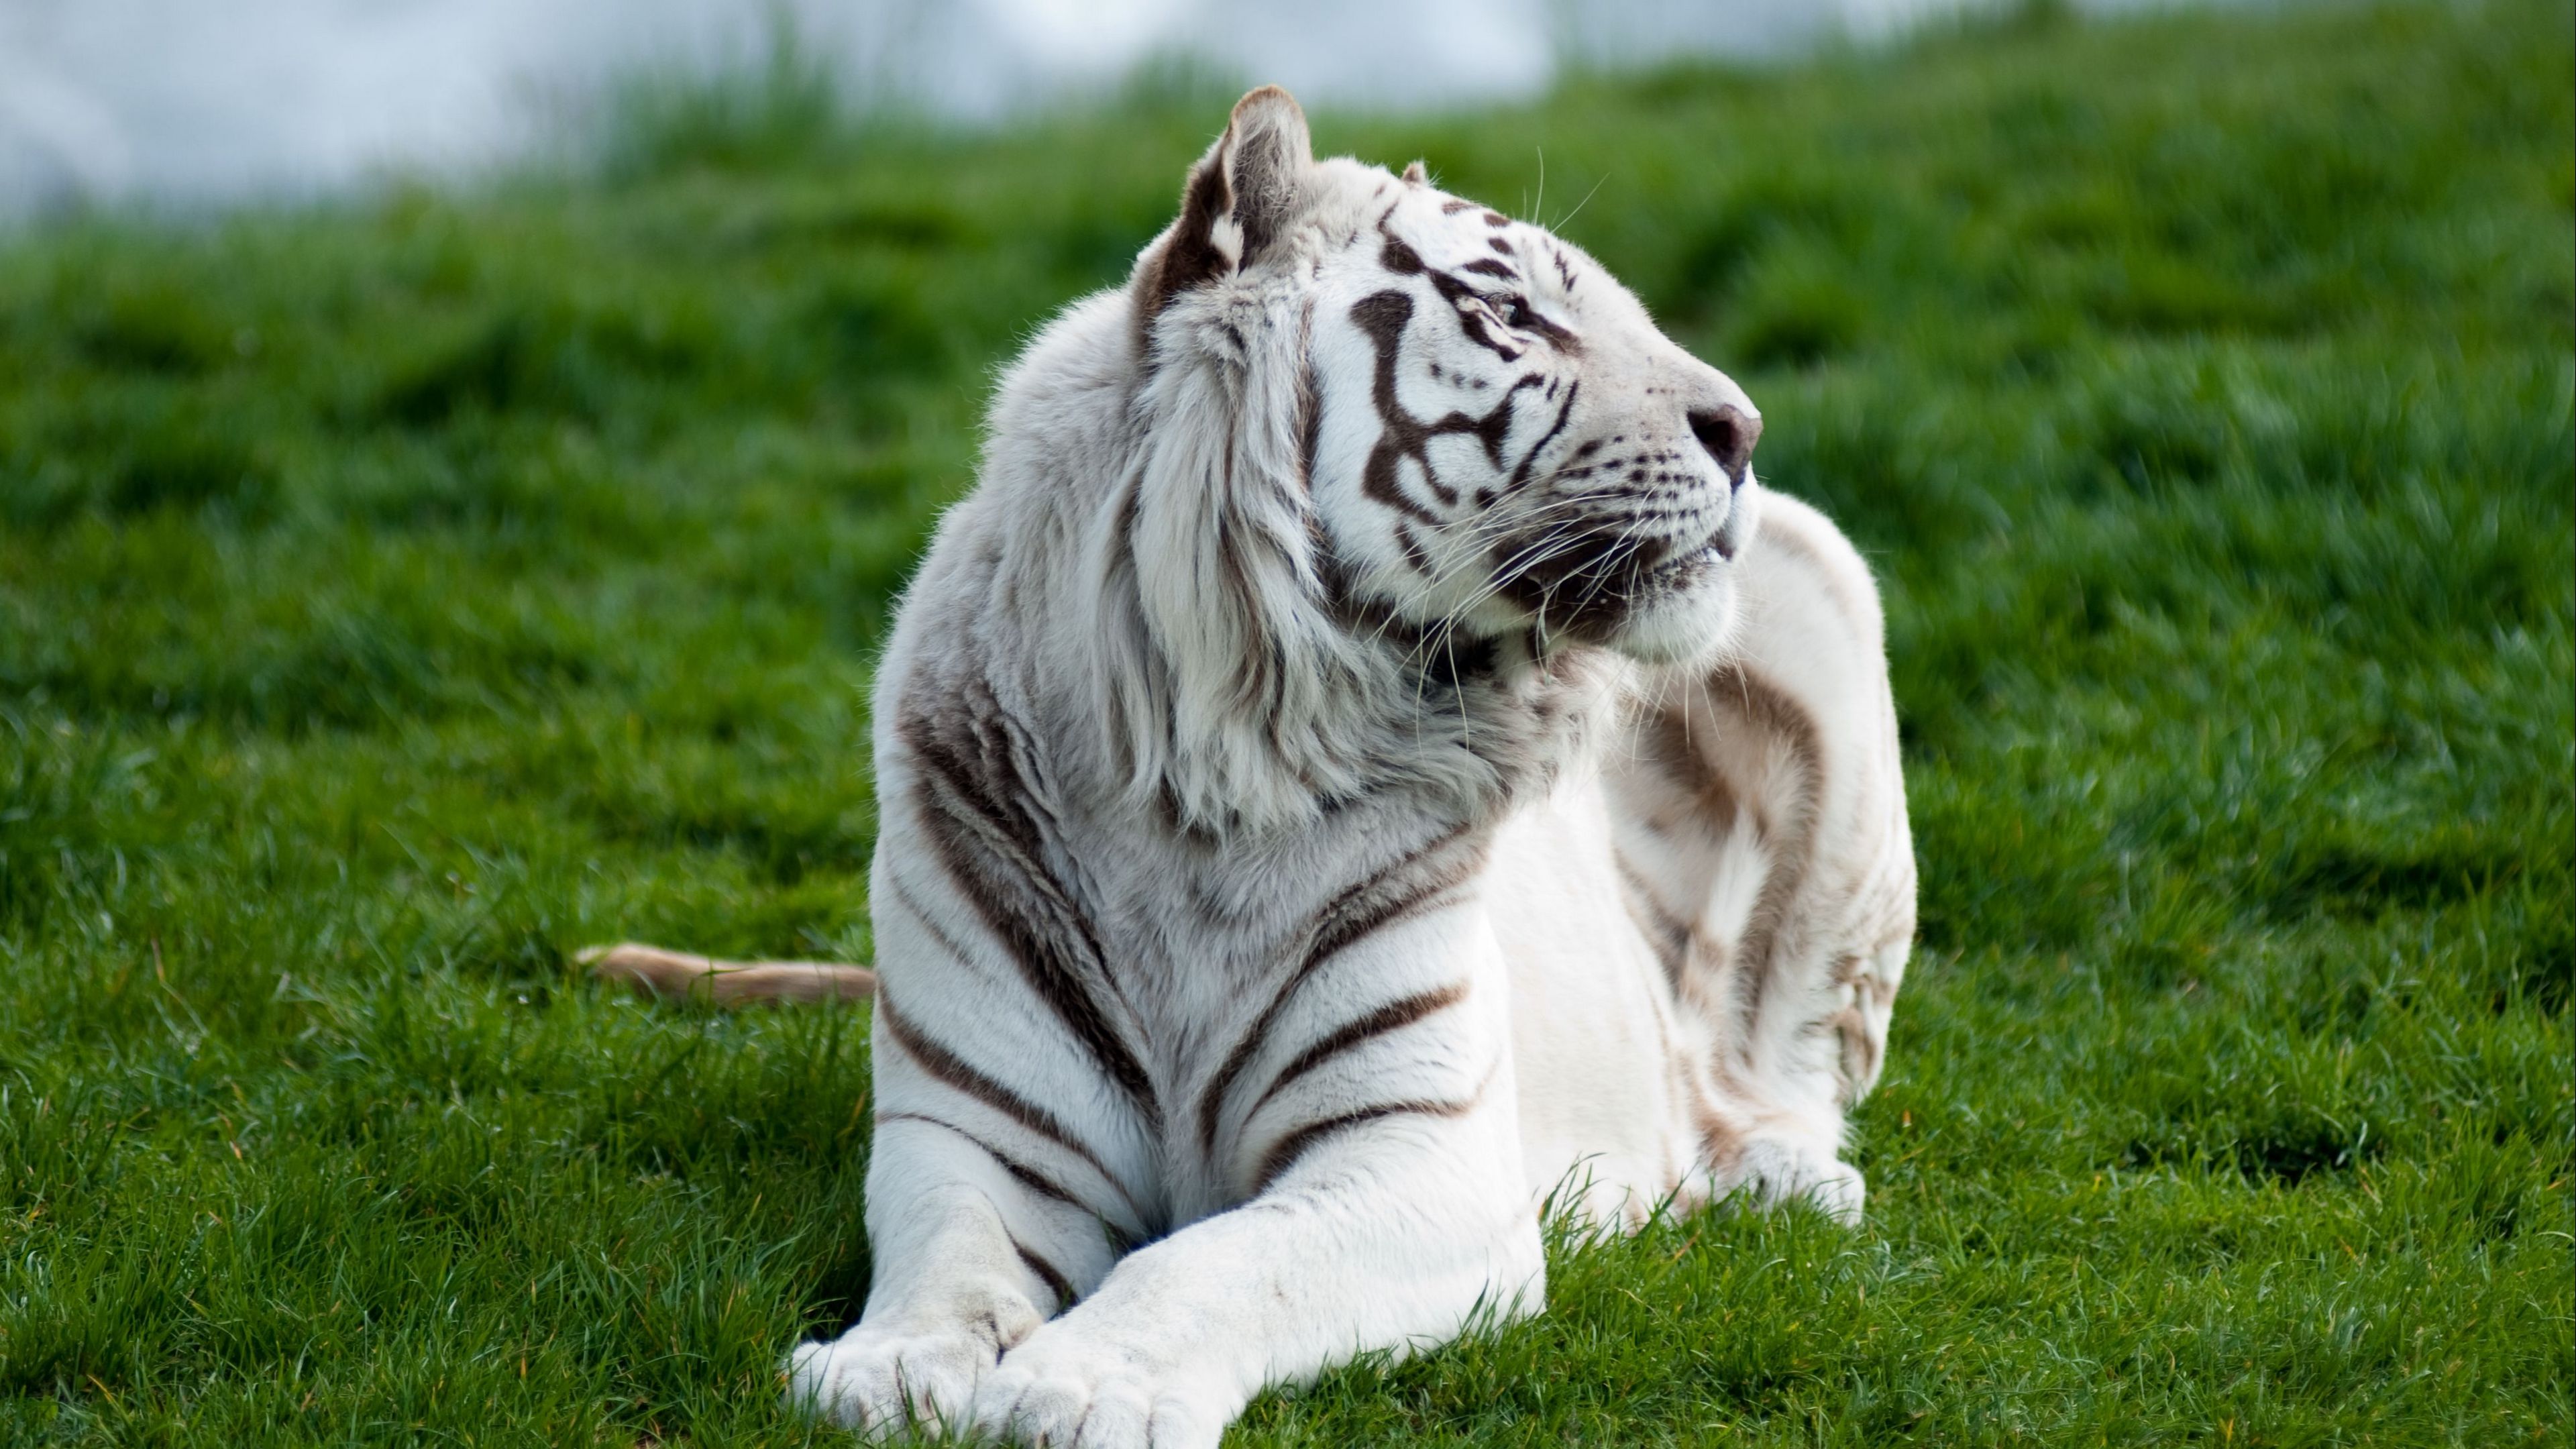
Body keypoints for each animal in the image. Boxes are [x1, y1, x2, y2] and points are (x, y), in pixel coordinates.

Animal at [585, 84, 1914, 1448]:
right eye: (1511, 313)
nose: (1744, 430)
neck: (1211, 782)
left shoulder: (1420, 1158)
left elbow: (1212, 1260)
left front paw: (1075, 1385)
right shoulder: (976, 1131)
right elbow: (951, 1257)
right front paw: (890, 1366)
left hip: (1817, 581)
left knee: (1795, 1060)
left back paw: (1780, 1173)